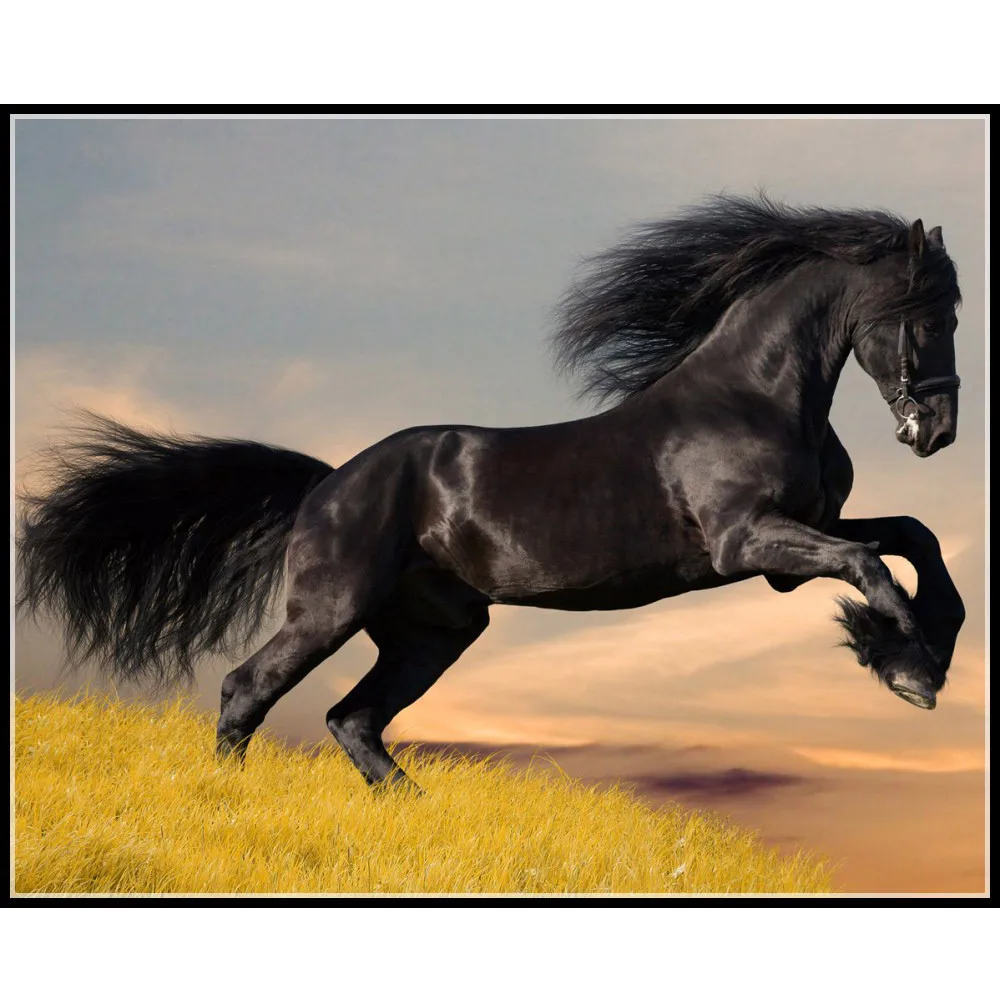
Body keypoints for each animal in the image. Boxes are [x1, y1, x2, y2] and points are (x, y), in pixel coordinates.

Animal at [16, 195, 966, 792]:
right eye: (927, 314)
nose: (937, 431)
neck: (753, 395)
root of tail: (328, 483)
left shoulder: (795, 540)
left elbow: (911, 537)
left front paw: (921, 649)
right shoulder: (748, 544)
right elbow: (869, 564)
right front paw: (906, 668)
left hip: (433, 631)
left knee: (353, 718)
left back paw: (415, 817)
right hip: (332, 609)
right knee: (248, 689)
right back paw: (232, 799)